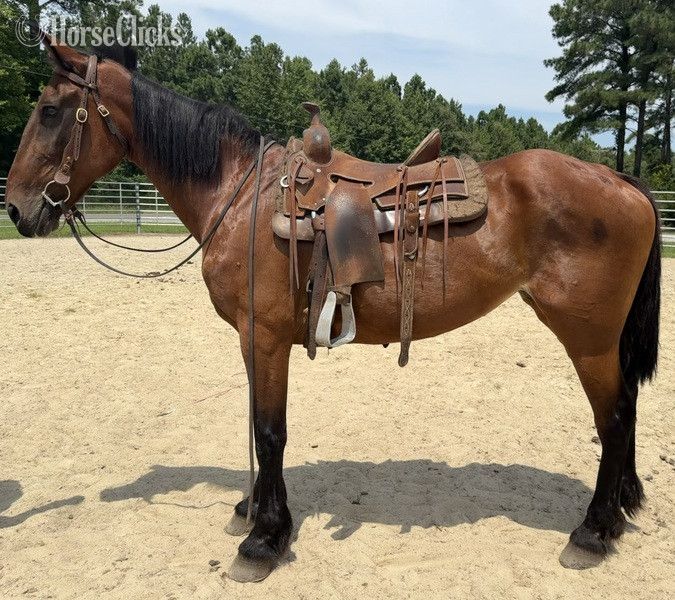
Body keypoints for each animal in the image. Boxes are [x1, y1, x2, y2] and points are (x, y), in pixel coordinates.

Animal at [5, 36, 661, 581]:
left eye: (51, 111)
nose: (16, 208)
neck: (240, 196)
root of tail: (621, 180)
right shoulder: (253, 339)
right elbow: (257, 425)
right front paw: (253, 511)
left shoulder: (264, 336)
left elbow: (269, 431)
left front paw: (264, 541)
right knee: (627, 406)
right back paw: (622, 507)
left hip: (587, 338)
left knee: (614, 418)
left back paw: (593, 532)